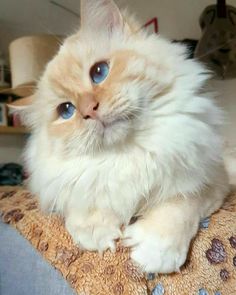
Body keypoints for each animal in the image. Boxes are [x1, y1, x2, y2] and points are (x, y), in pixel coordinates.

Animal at [13, 0, 230, 276]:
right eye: (66, 110)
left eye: (99, 72)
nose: (89, 111)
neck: (130, 152)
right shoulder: (69, 184)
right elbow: (84, 204)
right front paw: (98, 234)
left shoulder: (210, 181)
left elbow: (178, 207)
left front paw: (151, 253)